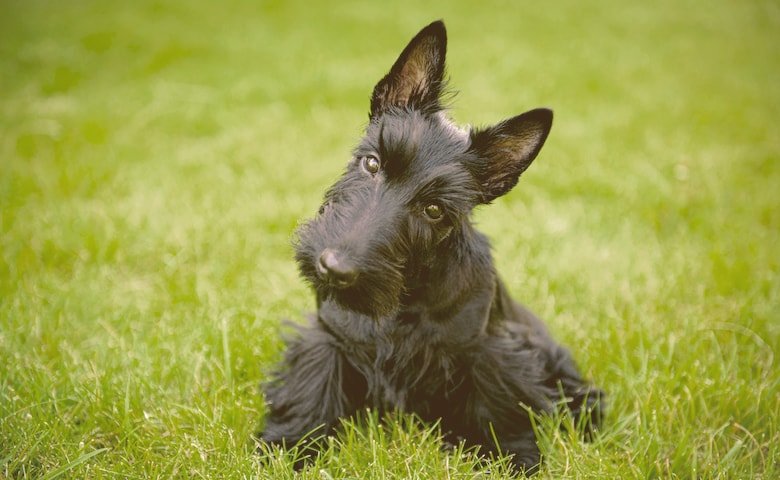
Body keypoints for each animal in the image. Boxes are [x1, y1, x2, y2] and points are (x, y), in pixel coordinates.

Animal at [262, 21, 604, 472]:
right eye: (372, 162)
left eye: (435, 209)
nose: (333, 268)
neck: (404, 299)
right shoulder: (328, 340)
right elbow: (311, 394)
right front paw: (288, 446)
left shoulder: (489, 352)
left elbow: (499, 409)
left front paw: (512, 456)